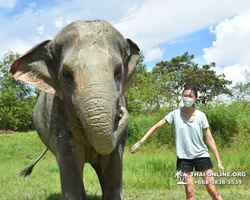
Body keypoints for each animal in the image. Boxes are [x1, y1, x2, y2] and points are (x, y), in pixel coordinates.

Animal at [10, 19, 139, 200]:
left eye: (118, 71)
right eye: (67, 74)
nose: (120, 112)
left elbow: (113, 159)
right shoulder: (57, 114)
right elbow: (69, 159)